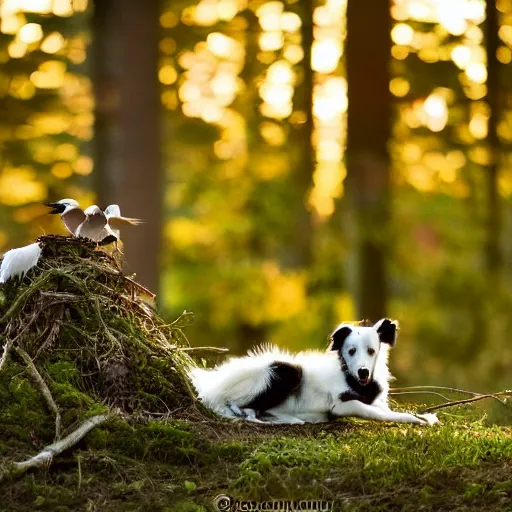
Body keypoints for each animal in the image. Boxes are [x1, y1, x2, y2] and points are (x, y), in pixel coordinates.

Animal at [190, 320, 438, 424]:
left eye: (371, 351)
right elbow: (373, 411)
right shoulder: (340, 404)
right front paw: (416, 419)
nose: (363, 372)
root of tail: (212, 384)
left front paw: (423, 416)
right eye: (351, 351)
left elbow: (382, 408)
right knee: (241, 406)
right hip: (286, 372)